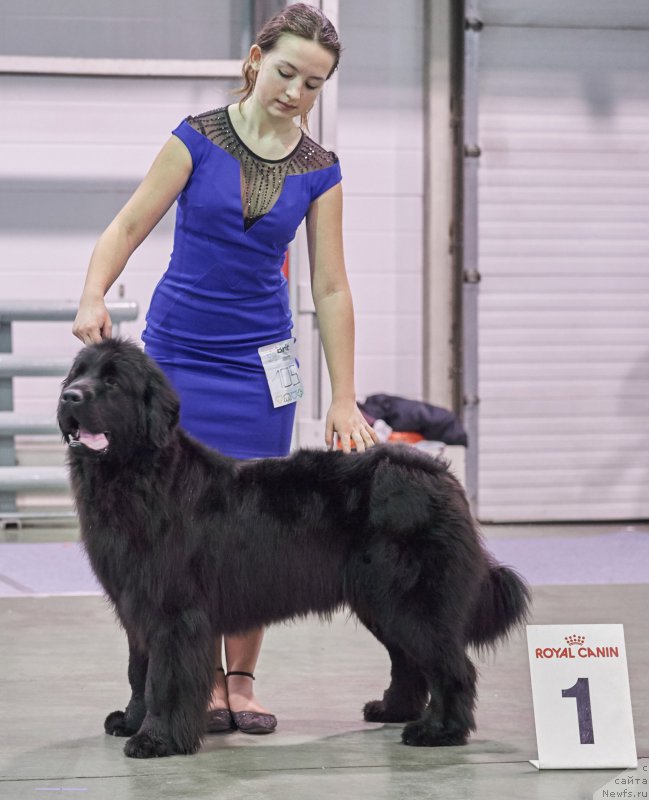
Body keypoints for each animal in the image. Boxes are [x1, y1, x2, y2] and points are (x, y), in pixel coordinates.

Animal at [57, 338, 530, 759]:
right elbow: (138, 671)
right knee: (409, 660)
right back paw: (393, 710)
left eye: (113, 382)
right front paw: (131, 721)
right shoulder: (135, 606)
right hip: (379, 601)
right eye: (79, 373)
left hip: (411, 599)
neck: (137, 474)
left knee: (451, 666)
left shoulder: (172, 612)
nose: (69, 396)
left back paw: (438, 730)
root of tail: (438, 473)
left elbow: (163, 678)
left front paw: (155, 739)